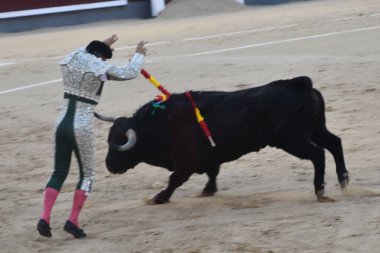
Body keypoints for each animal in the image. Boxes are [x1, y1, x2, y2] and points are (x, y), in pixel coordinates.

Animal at [97, 75, 348, 204]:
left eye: (118, 146)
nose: (109, 165)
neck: (159, 124)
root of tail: (298, 83)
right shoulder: (209, 157)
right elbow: (212, 172)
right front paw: (208, 190)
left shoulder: (185, 162)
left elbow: (174, 179)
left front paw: (158, 198)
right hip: (316, 130)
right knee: (335, 143)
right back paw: (343, 180)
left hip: (292, 140)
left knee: (318, 154)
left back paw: (320, 191)